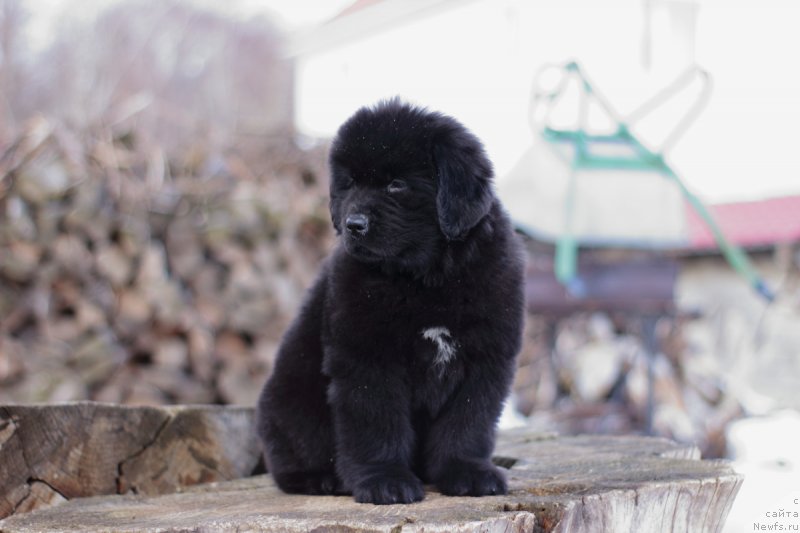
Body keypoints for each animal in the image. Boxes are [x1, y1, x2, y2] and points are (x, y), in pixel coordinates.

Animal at [256, 98, 528, 502]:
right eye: (350, 183)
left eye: (396, 185)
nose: (353, 225)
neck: (427, 279)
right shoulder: (368, 357)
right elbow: (378, 422)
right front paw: (385, 481)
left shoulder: (486, 358)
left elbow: (468, 421)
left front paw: (467, 472)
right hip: (289, 403)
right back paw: (321, 478)